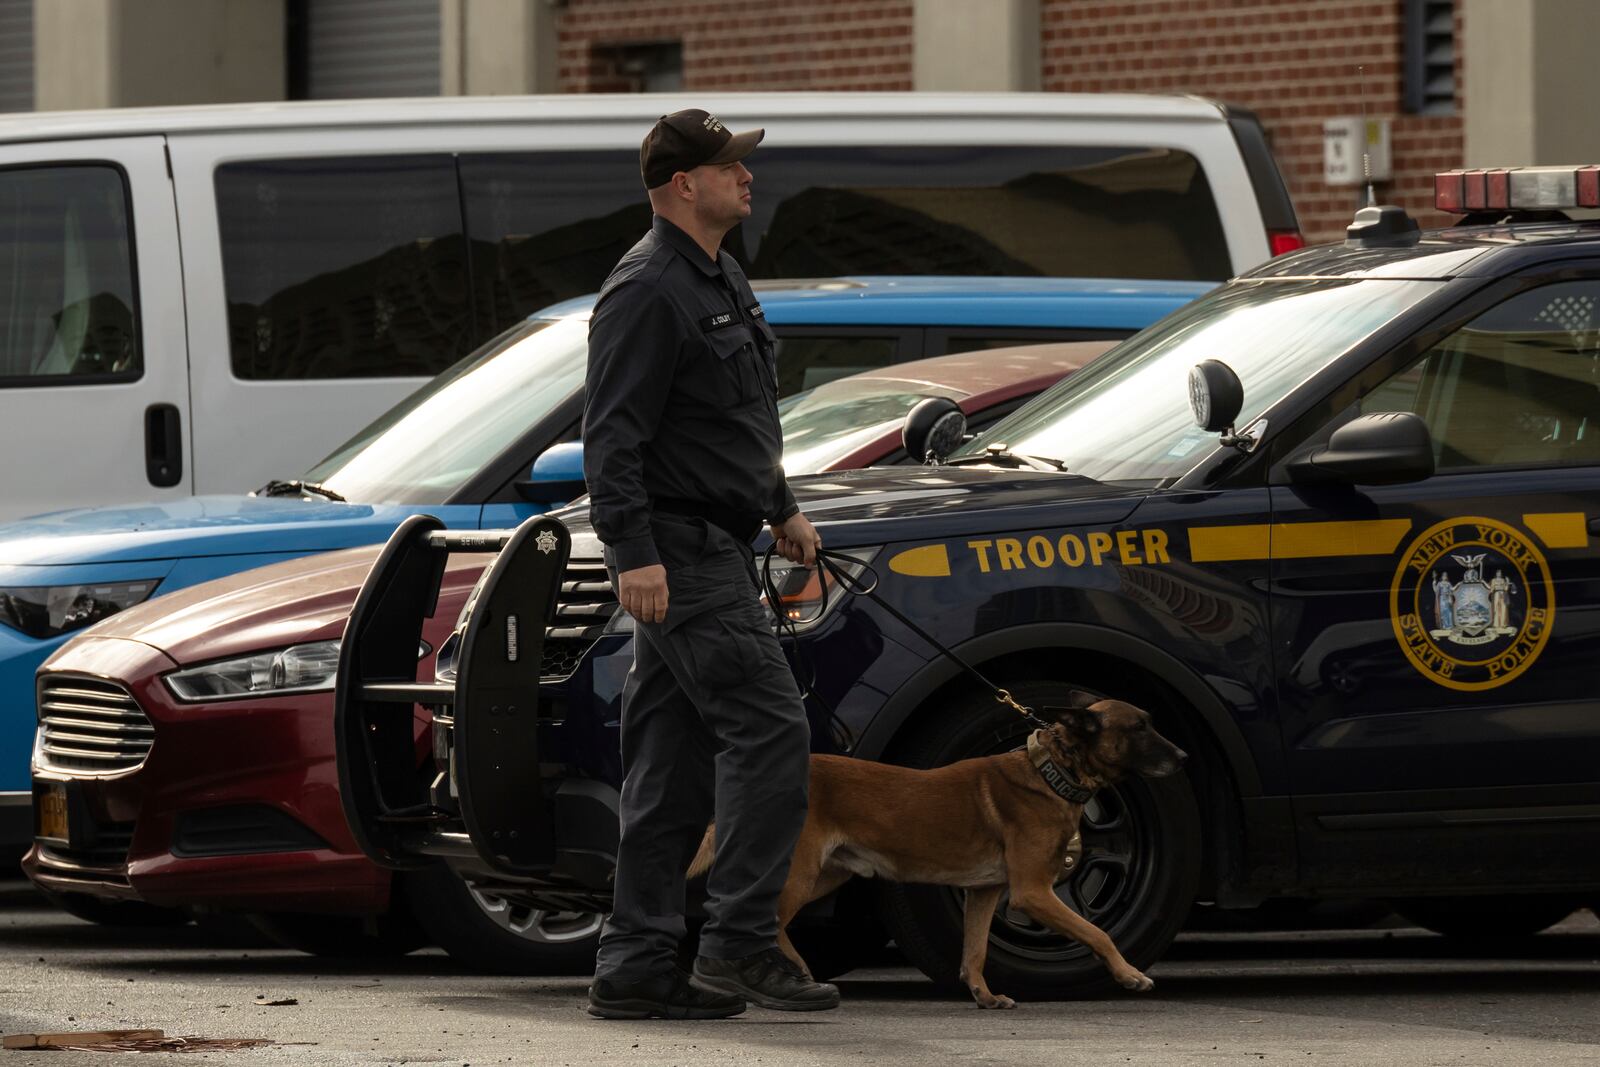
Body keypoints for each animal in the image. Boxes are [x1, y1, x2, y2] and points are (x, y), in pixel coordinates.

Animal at [681, 694, 1184, 1011]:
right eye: (1139, 727)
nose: (1183, 757)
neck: (1051, 771)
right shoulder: (1033, 892)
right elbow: (1098, 933)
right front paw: (1129, 974)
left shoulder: (985, 893)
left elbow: (975, 952)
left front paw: (983, 995)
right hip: (802, 873)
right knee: (766, 920)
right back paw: (793, 975)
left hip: (828, 875)